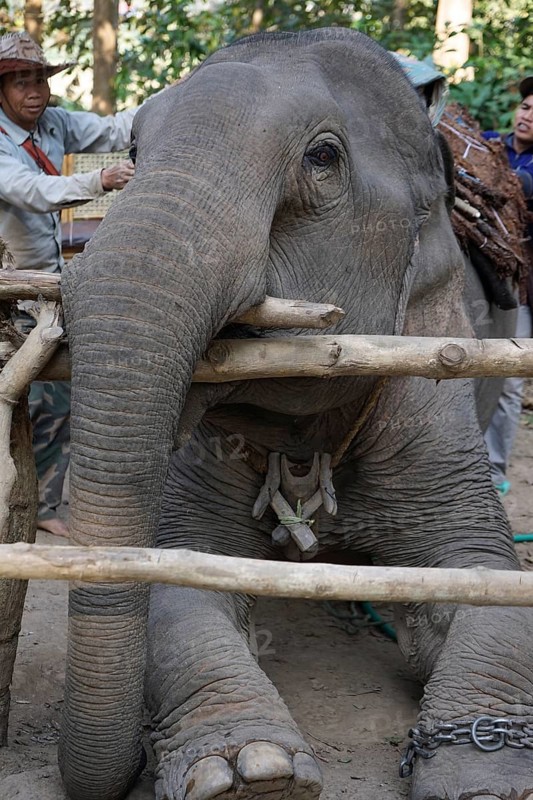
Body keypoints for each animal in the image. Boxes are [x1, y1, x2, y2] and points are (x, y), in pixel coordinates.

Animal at [57, 27, 533, 800]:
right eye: (132, 149)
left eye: (322, 157)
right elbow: (181, 582)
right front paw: (251, 772)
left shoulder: (431, 371)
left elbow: (488, 582)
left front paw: (487, 783)